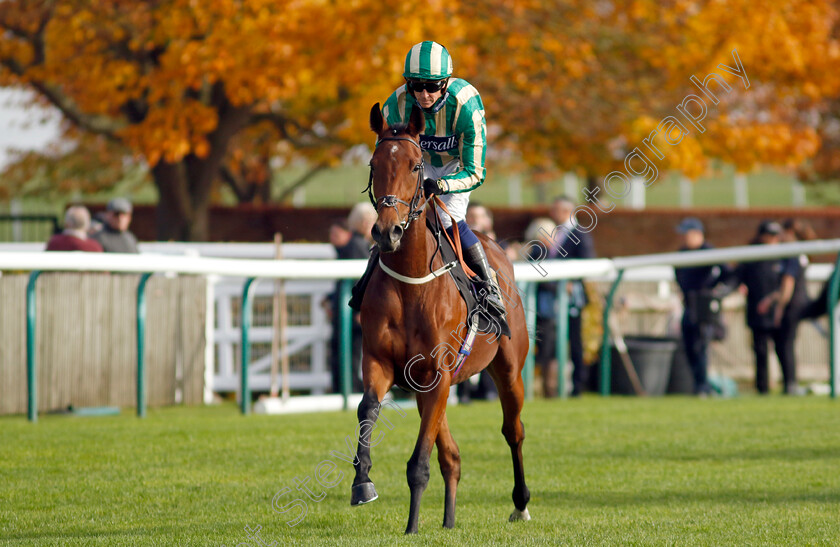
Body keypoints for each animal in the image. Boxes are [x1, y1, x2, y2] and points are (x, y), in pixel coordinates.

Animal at [350, 103, 532, 536]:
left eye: (416, 165)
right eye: (374, 163)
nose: (387, 231)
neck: (411, 282)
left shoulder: (439, 374)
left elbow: (419, 462)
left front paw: (412, 527)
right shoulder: (381, 362)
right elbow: (367, 408)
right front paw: (362, 483)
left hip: (509, 369)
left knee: (513, 431)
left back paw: (520, 504)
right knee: (452, 455)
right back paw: (449, 521)